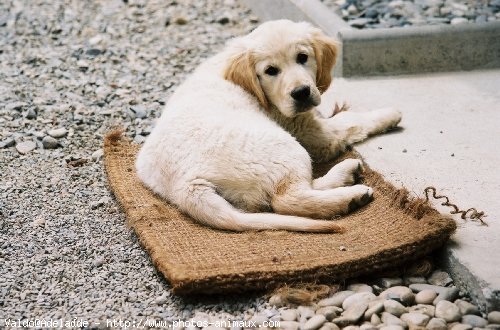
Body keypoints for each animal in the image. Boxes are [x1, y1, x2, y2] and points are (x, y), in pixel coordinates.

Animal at [135, 20, 400, 232]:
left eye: (303, 58)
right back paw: (351, 196)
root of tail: (185, 185)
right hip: (285, 147)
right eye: (270, 71)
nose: (301, 93)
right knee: (287, 199)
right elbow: (351, 120)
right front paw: (389, 114)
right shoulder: (309, 130)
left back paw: (346, 174)